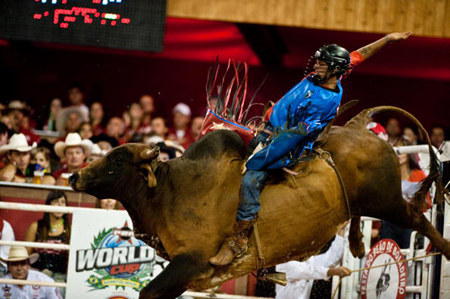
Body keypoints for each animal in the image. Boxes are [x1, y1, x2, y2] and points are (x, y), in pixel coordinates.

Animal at [68, 106, 448, 298]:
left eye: (118, 159)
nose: (74, 177)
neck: (169, 191)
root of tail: (360, 131)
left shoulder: (190, 262)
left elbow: (148, 293)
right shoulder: (186, 274)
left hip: (387, 201)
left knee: (418, 218)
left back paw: (444, 247)